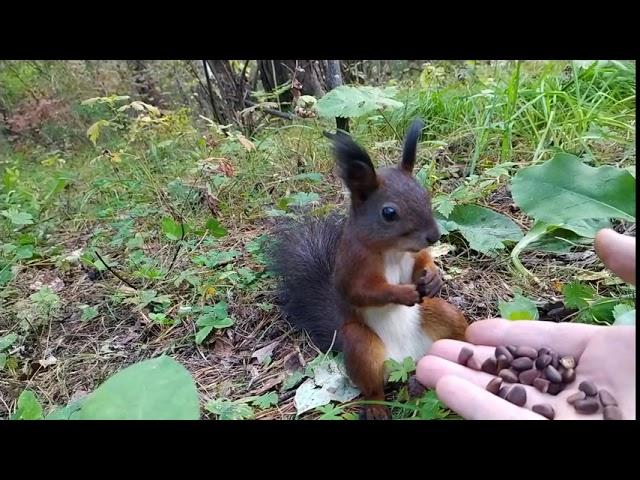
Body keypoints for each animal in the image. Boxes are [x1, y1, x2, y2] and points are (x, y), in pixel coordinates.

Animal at [268, 120, 468, 420]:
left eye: (426, 194)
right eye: (388, 213)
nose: (434, 236)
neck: (393, 250)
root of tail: (407, 360)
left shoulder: (413, 255)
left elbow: (422, 262)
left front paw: (433, 277)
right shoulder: (354, 264)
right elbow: (362, 292)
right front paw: (402, 293)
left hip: (440, 314)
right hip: (361, 344)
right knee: (372, 385)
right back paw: (376, 407)